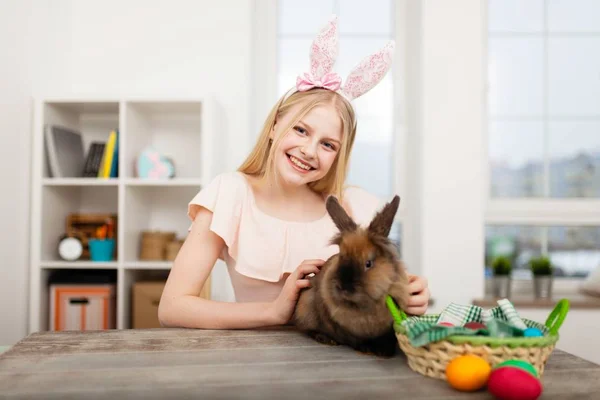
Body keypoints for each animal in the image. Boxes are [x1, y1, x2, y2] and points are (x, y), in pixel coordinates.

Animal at [292, 194, 412, 356]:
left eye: (368, 263)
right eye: (341, 257)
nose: (343, 287)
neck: (363, 307)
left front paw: (385, 352)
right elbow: (354, 339)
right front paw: (366, 348)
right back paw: (325, 339)